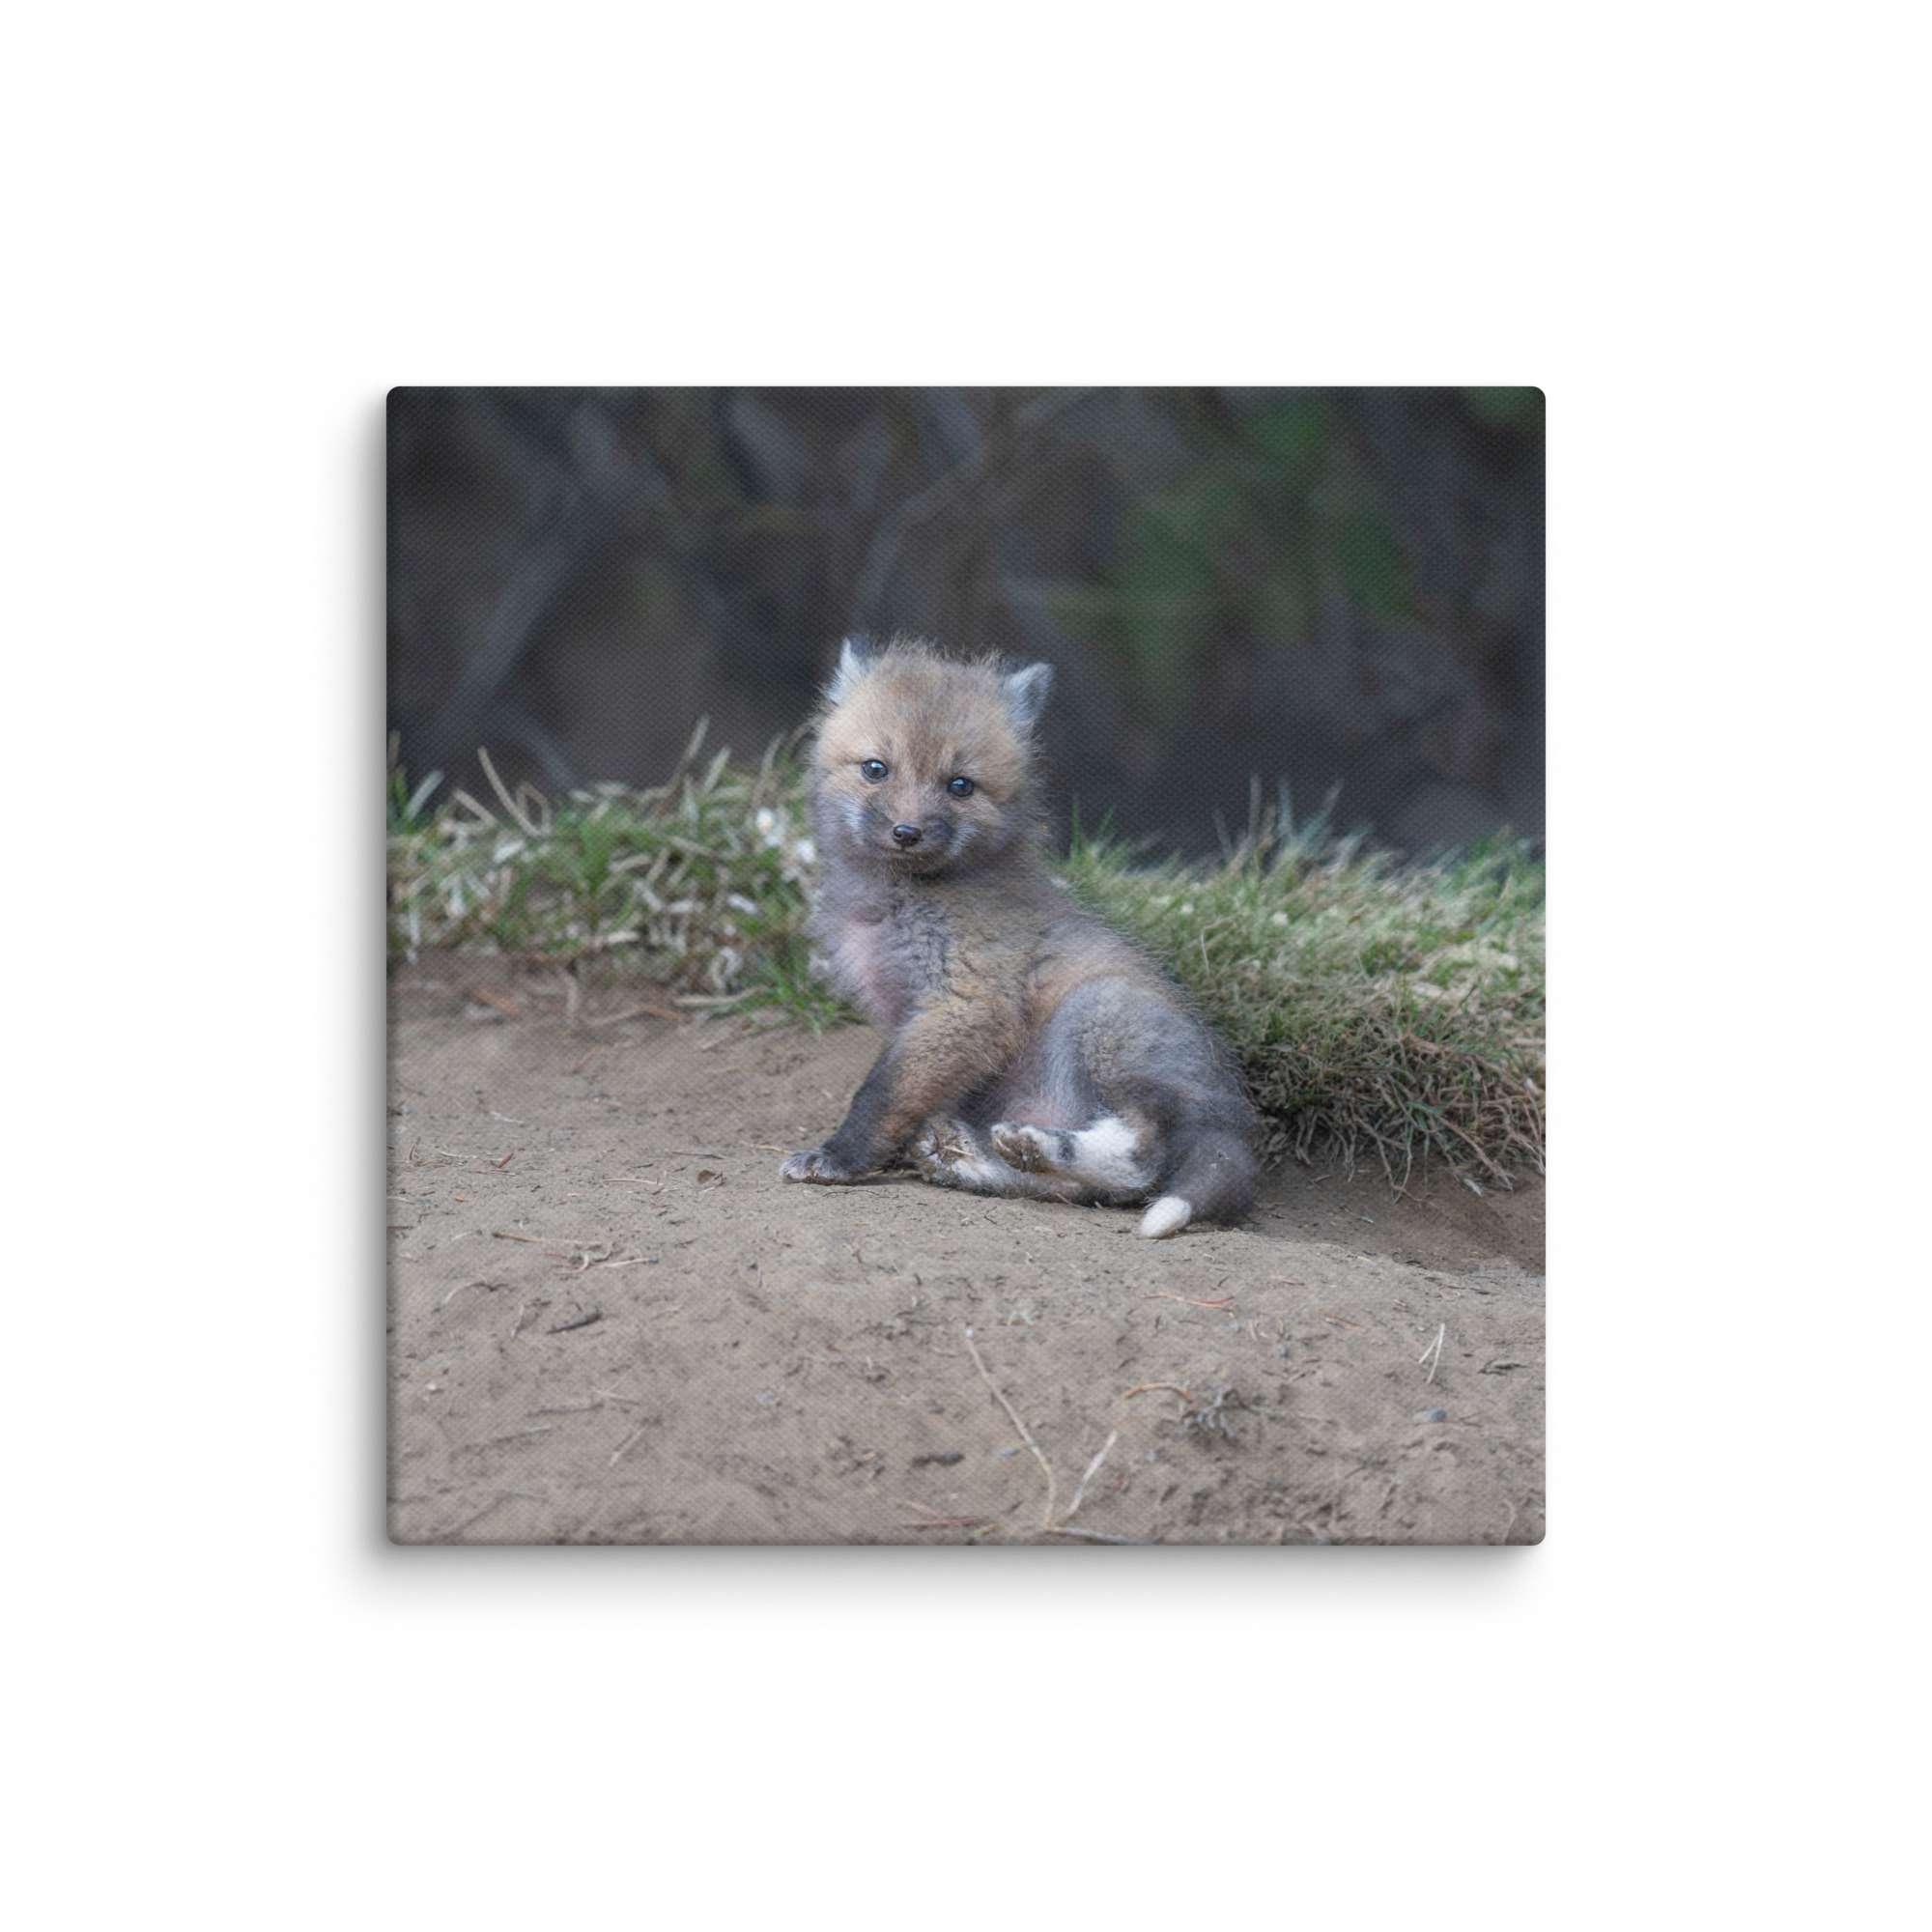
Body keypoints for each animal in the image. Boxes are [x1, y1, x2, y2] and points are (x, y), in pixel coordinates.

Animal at [778, 636, 1258, 1238]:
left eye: (960, 785)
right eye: (875, 769)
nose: (907, 832)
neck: (897, 903)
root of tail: (1233, 1121)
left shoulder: (967, 1003)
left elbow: (882, 1094)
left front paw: (840, 1158)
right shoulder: (913, 1016)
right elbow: (902, 1093)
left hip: (1098, 1014)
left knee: (1142, 1159)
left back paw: (1038, 1146)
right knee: (1087, 1191)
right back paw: (976, 1159)